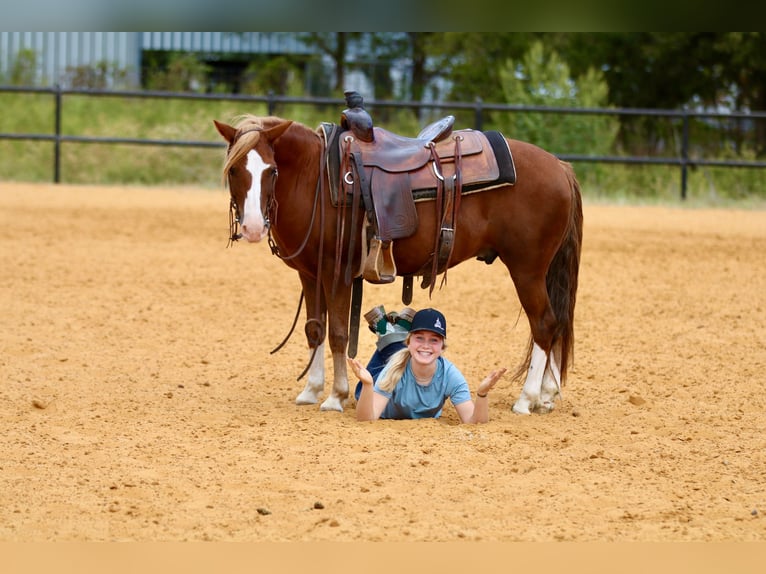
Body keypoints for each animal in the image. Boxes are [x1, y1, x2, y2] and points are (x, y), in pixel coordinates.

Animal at [214, 113, 582, 415]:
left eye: (272, 170)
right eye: (234, 170)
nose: (253, 227)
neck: (316, 178)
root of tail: (560, 167)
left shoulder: (337, 272)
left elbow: (337, 334)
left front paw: (336, 396)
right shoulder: (310, 273)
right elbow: (314, 329)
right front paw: (310, 390)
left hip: (527, 269)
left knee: (544, 323)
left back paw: (526, 399)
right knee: (556, 323)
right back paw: (547, 395)